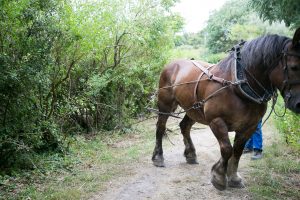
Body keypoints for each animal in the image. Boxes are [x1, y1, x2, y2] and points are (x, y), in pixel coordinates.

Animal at [152, 28, 300, 191]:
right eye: (294, 67)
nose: (298, 103)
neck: (236, 84)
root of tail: (172, 63)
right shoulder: (217, 121)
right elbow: (227, 149)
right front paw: (218, 176)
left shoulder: (250, 126)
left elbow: (237, 150)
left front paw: (234, 177)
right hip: (165, 105)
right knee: (160, 127)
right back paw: (158, 157)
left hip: (193, 109)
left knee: (184, 126)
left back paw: (190, 154)